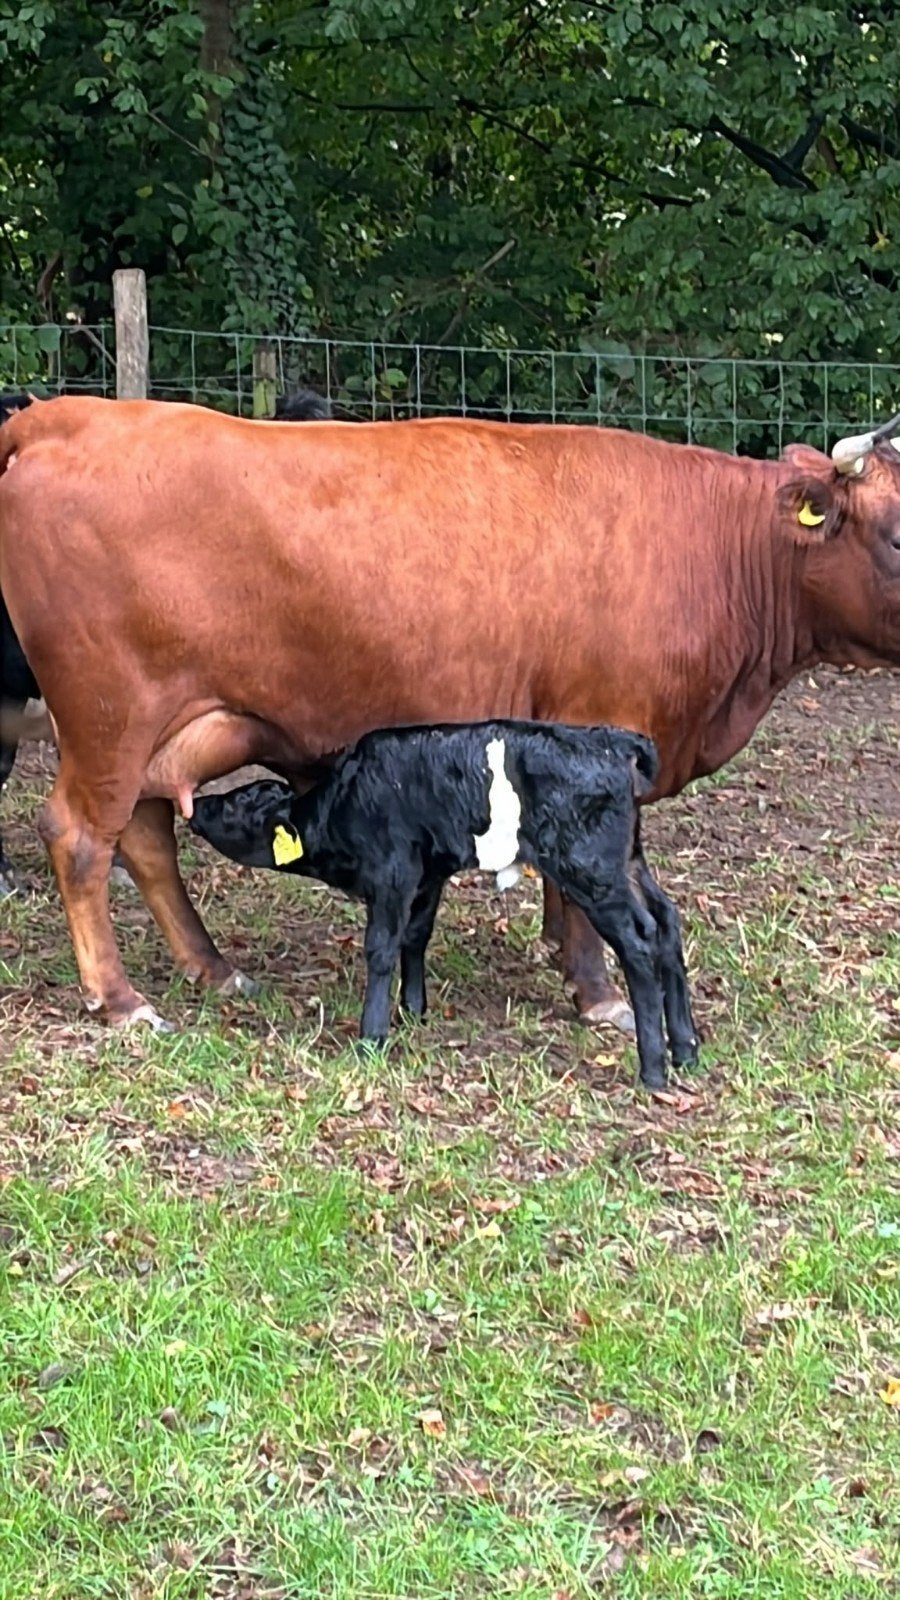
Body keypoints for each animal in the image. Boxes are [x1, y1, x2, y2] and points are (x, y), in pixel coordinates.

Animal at [0, 396, 897, 1035]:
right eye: (894, 536)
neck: (715, 547)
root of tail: (70, 414)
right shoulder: (592, 732)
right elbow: (580, 896)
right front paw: (598, 990)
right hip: (111, 719)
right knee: (80, 839)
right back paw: (120, 999)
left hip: (166, 732)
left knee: (147, 839)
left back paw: (214, 968)